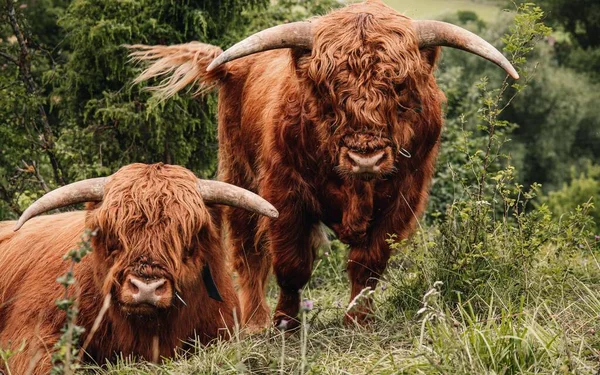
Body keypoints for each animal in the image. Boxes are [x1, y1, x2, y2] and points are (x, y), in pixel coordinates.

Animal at [129, 0, 516, 330]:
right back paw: (255, 320)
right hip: (238, 174)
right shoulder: (283, 193)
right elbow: (292, 265)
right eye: (328, 88)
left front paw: (358, 320)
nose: (365, 157)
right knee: (248, 253)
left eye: (400, 85)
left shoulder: (404, 196)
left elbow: (368, 263)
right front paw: (285, 323)